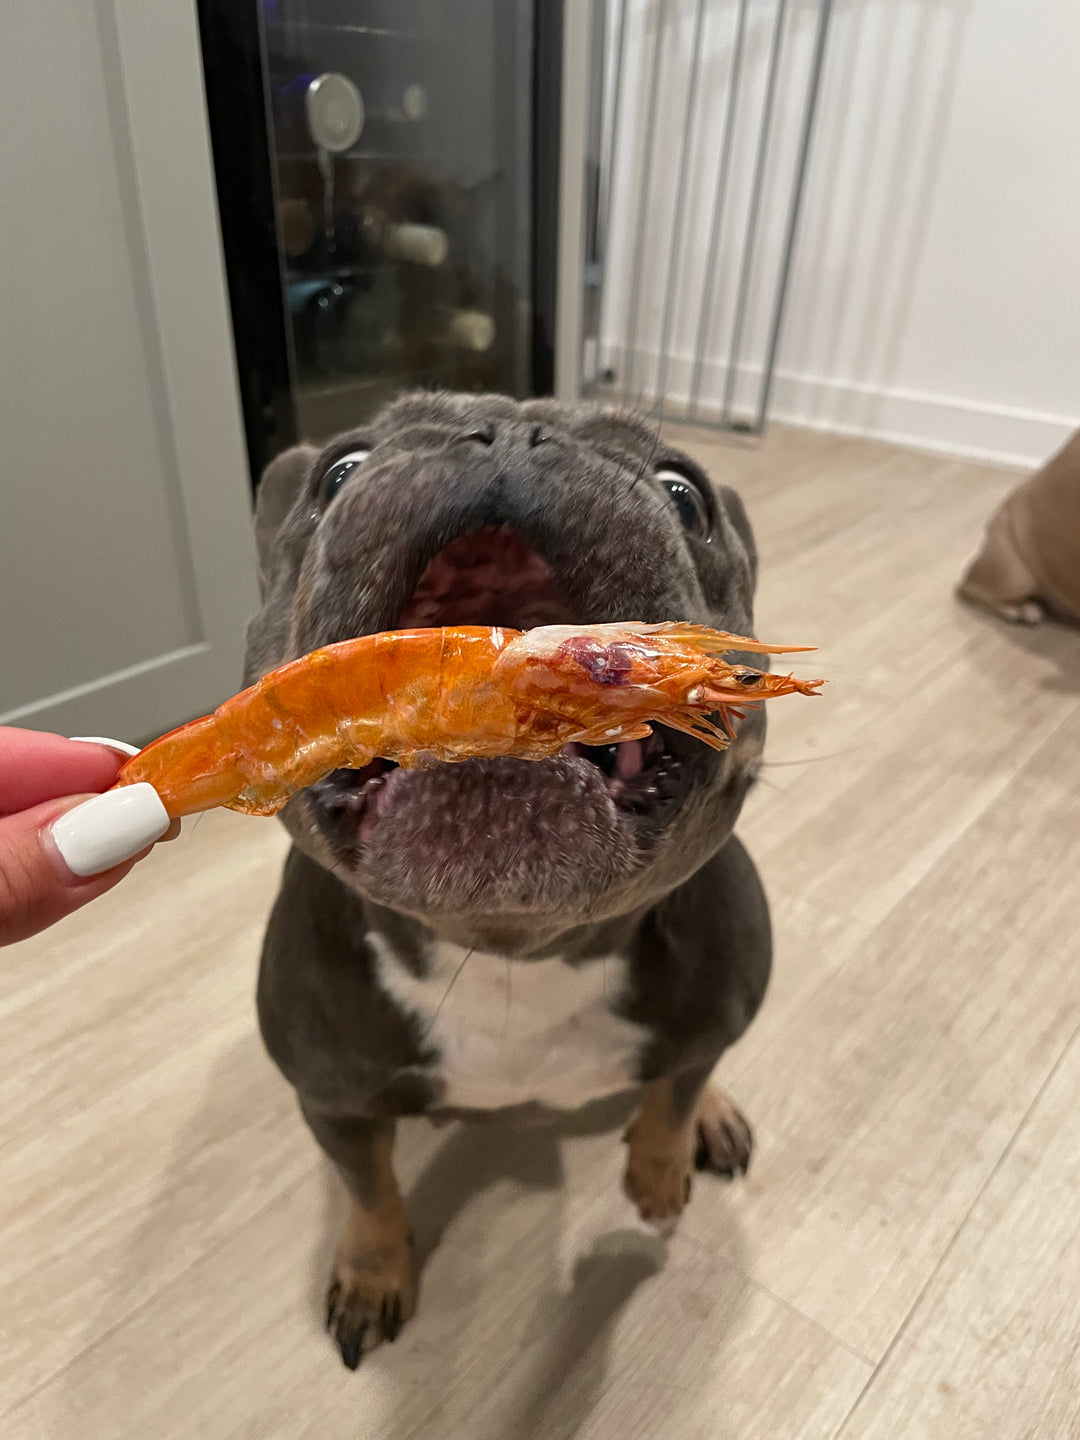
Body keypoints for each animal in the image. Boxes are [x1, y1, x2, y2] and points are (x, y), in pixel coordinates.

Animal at [249, 388, 771, 1365]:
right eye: (338, 471)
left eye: (684, 494)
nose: (512, 432)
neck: (511, 955)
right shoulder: (333, 1100)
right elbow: (368, 1190)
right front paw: (373, 1271)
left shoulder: (711, 999)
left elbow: (676, 1089)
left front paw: (659, 1172)